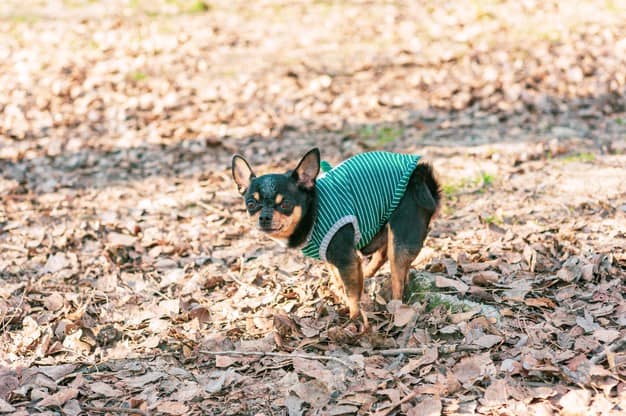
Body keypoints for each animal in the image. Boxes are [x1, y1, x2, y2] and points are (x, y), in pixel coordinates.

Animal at [232, 148, 442, 326]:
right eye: (251, 204)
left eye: (285, 204)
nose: (264, 217)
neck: (314, 211)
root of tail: (421, 175)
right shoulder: (332, 257)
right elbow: (340, 281)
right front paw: (341, 296)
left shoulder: (345, 258)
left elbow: (352, 294)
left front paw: (354, 318)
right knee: (382, 256)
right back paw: (367, 274)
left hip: (402, 237)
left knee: (399, 278)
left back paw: (395, 307)